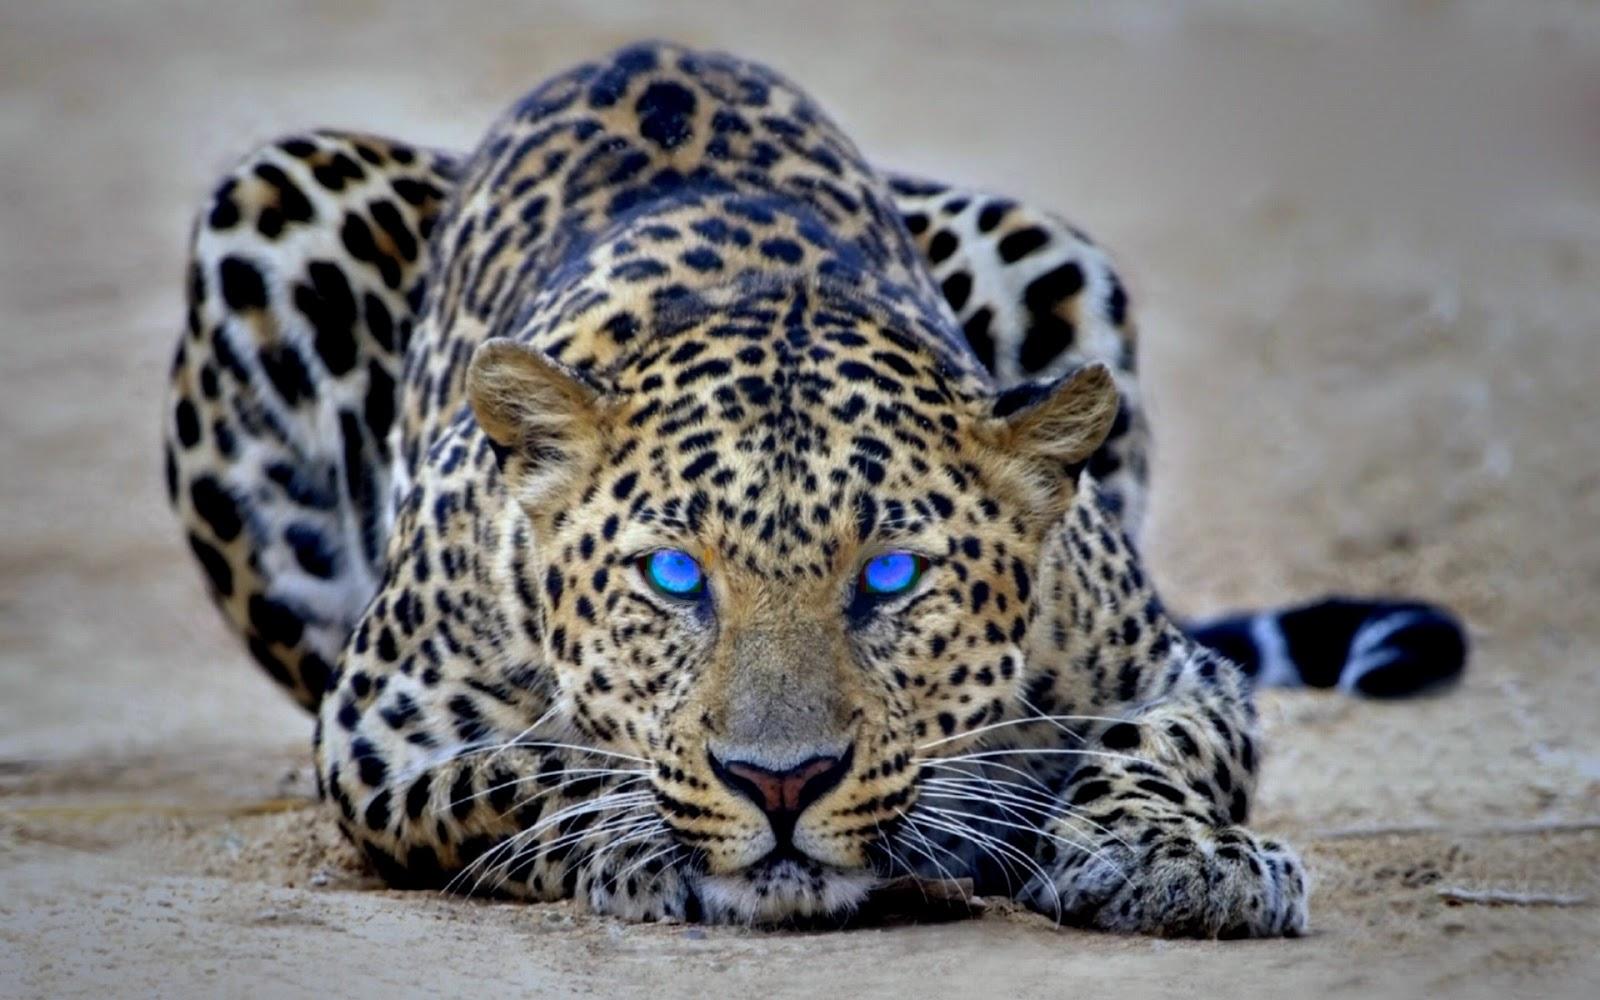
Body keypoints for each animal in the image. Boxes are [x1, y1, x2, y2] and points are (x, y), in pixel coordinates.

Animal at [163, 41, 1467, 935]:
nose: (780, 782)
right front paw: (643, 837)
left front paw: (1179, 858)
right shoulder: (379, 727)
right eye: (673, 575)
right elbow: (527, 770)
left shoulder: (1170, 669)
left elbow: (1159, 744)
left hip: (1044, 242)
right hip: (268, 207)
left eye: (888, 576)